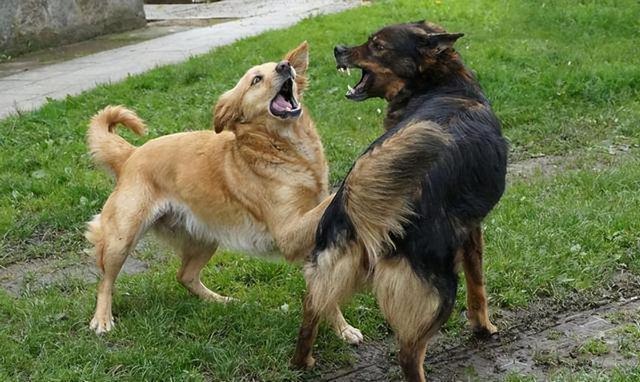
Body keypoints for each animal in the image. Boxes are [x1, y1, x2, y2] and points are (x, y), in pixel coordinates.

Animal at [85, 43, 362, 344]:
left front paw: (342, 329)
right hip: (122, 238)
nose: (285, 66)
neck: (284, 149)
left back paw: (219, 300)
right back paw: (102, 319)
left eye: (280, 65)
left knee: (185, 276)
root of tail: (131, 154)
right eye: (256, 79)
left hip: (205, 237)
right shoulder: (288, 233)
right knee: (105, 281)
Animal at [292, 21, 508, 382]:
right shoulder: (472, 230)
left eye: (377, 45)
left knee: (310, 311)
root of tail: (355, 204)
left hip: (328, 272)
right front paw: (484, 328)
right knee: (409, 355)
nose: (338, 49)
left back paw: (303, 361)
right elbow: (478, 286)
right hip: (438, 290)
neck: (441, 86)